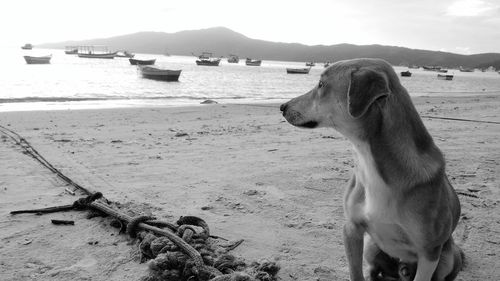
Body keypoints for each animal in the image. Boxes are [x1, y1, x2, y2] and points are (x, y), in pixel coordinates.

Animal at [280, 58, 462, 278]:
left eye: (321, 85)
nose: (282, 106)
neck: (370, 161)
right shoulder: (352, 229)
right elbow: (355, 273)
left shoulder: (429, 253)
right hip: (371, 247)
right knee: (376, 269)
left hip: (447, 258)